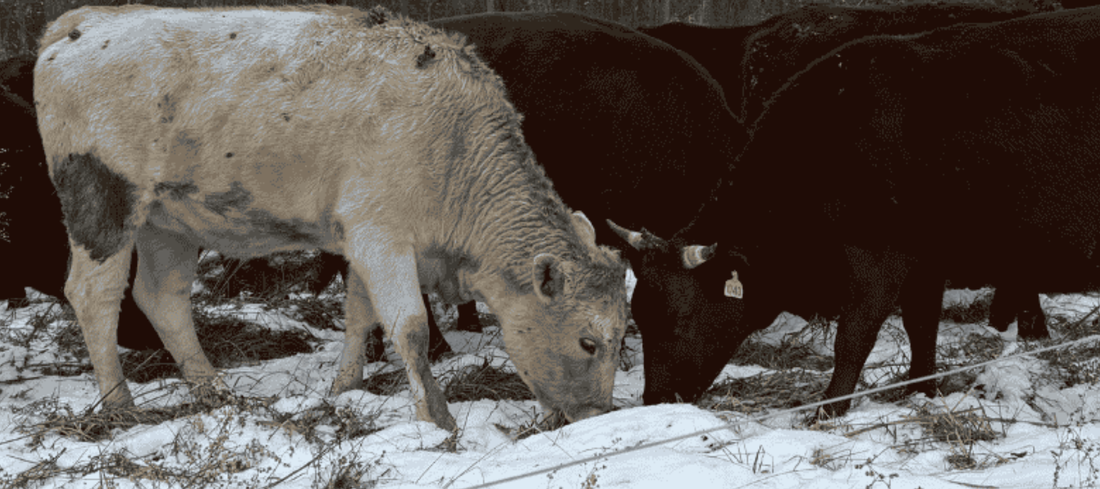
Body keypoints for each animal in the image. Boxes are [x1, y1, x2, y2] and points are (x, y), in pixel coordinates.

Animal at [35, 6, 628, 431]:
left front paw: (346, 387)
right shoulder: (382, 236)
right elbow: (409, 326)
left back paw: (213, 389)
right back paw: (119, 403)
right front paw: (437, 419)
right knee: (95, 295)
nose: (597, 414)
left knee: (162, 297)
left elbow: (360, 313)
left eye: (623, 337)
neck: (452, 145)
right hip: (105, 200)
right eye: (588, 342)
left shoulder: (362, 238)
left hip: (169, 221)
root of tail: (80, 24)